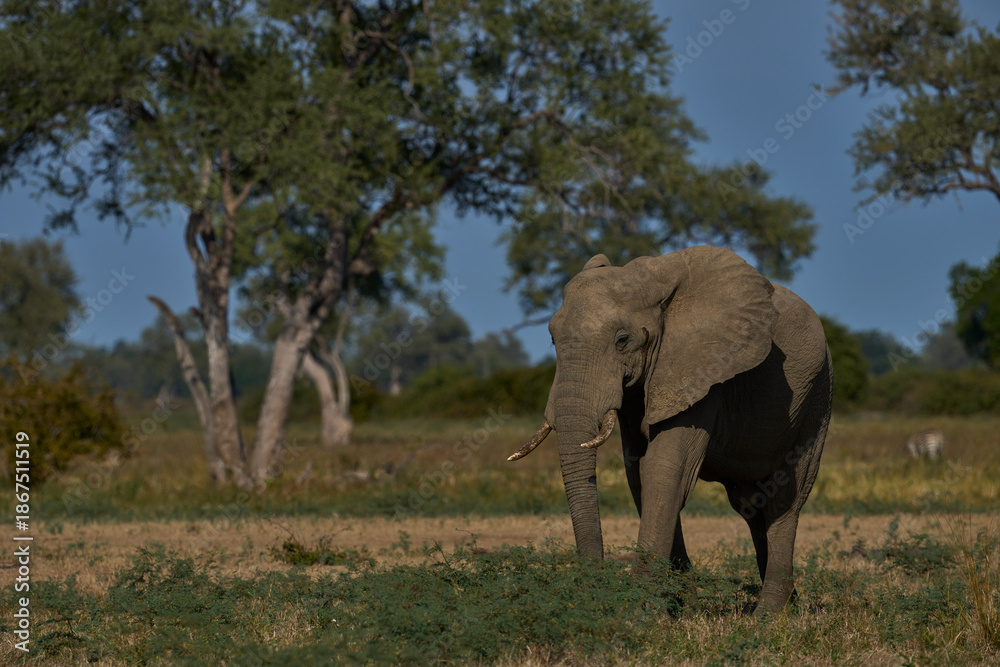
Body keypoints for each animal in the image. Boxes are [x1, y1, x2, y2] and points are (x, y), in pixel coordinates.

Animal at [509, 245, 832, 614]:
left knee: (786, 497)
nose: (592, 593)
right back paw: (788, 603)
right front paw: (680, 605)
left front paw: (640, 612)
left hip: (817, 396)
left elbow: (666, 469)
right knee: (751, 504)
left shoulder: (704, 368)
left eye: (623, 340)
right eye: (552, 338)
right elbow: (640, 474)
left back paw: (767, 614)